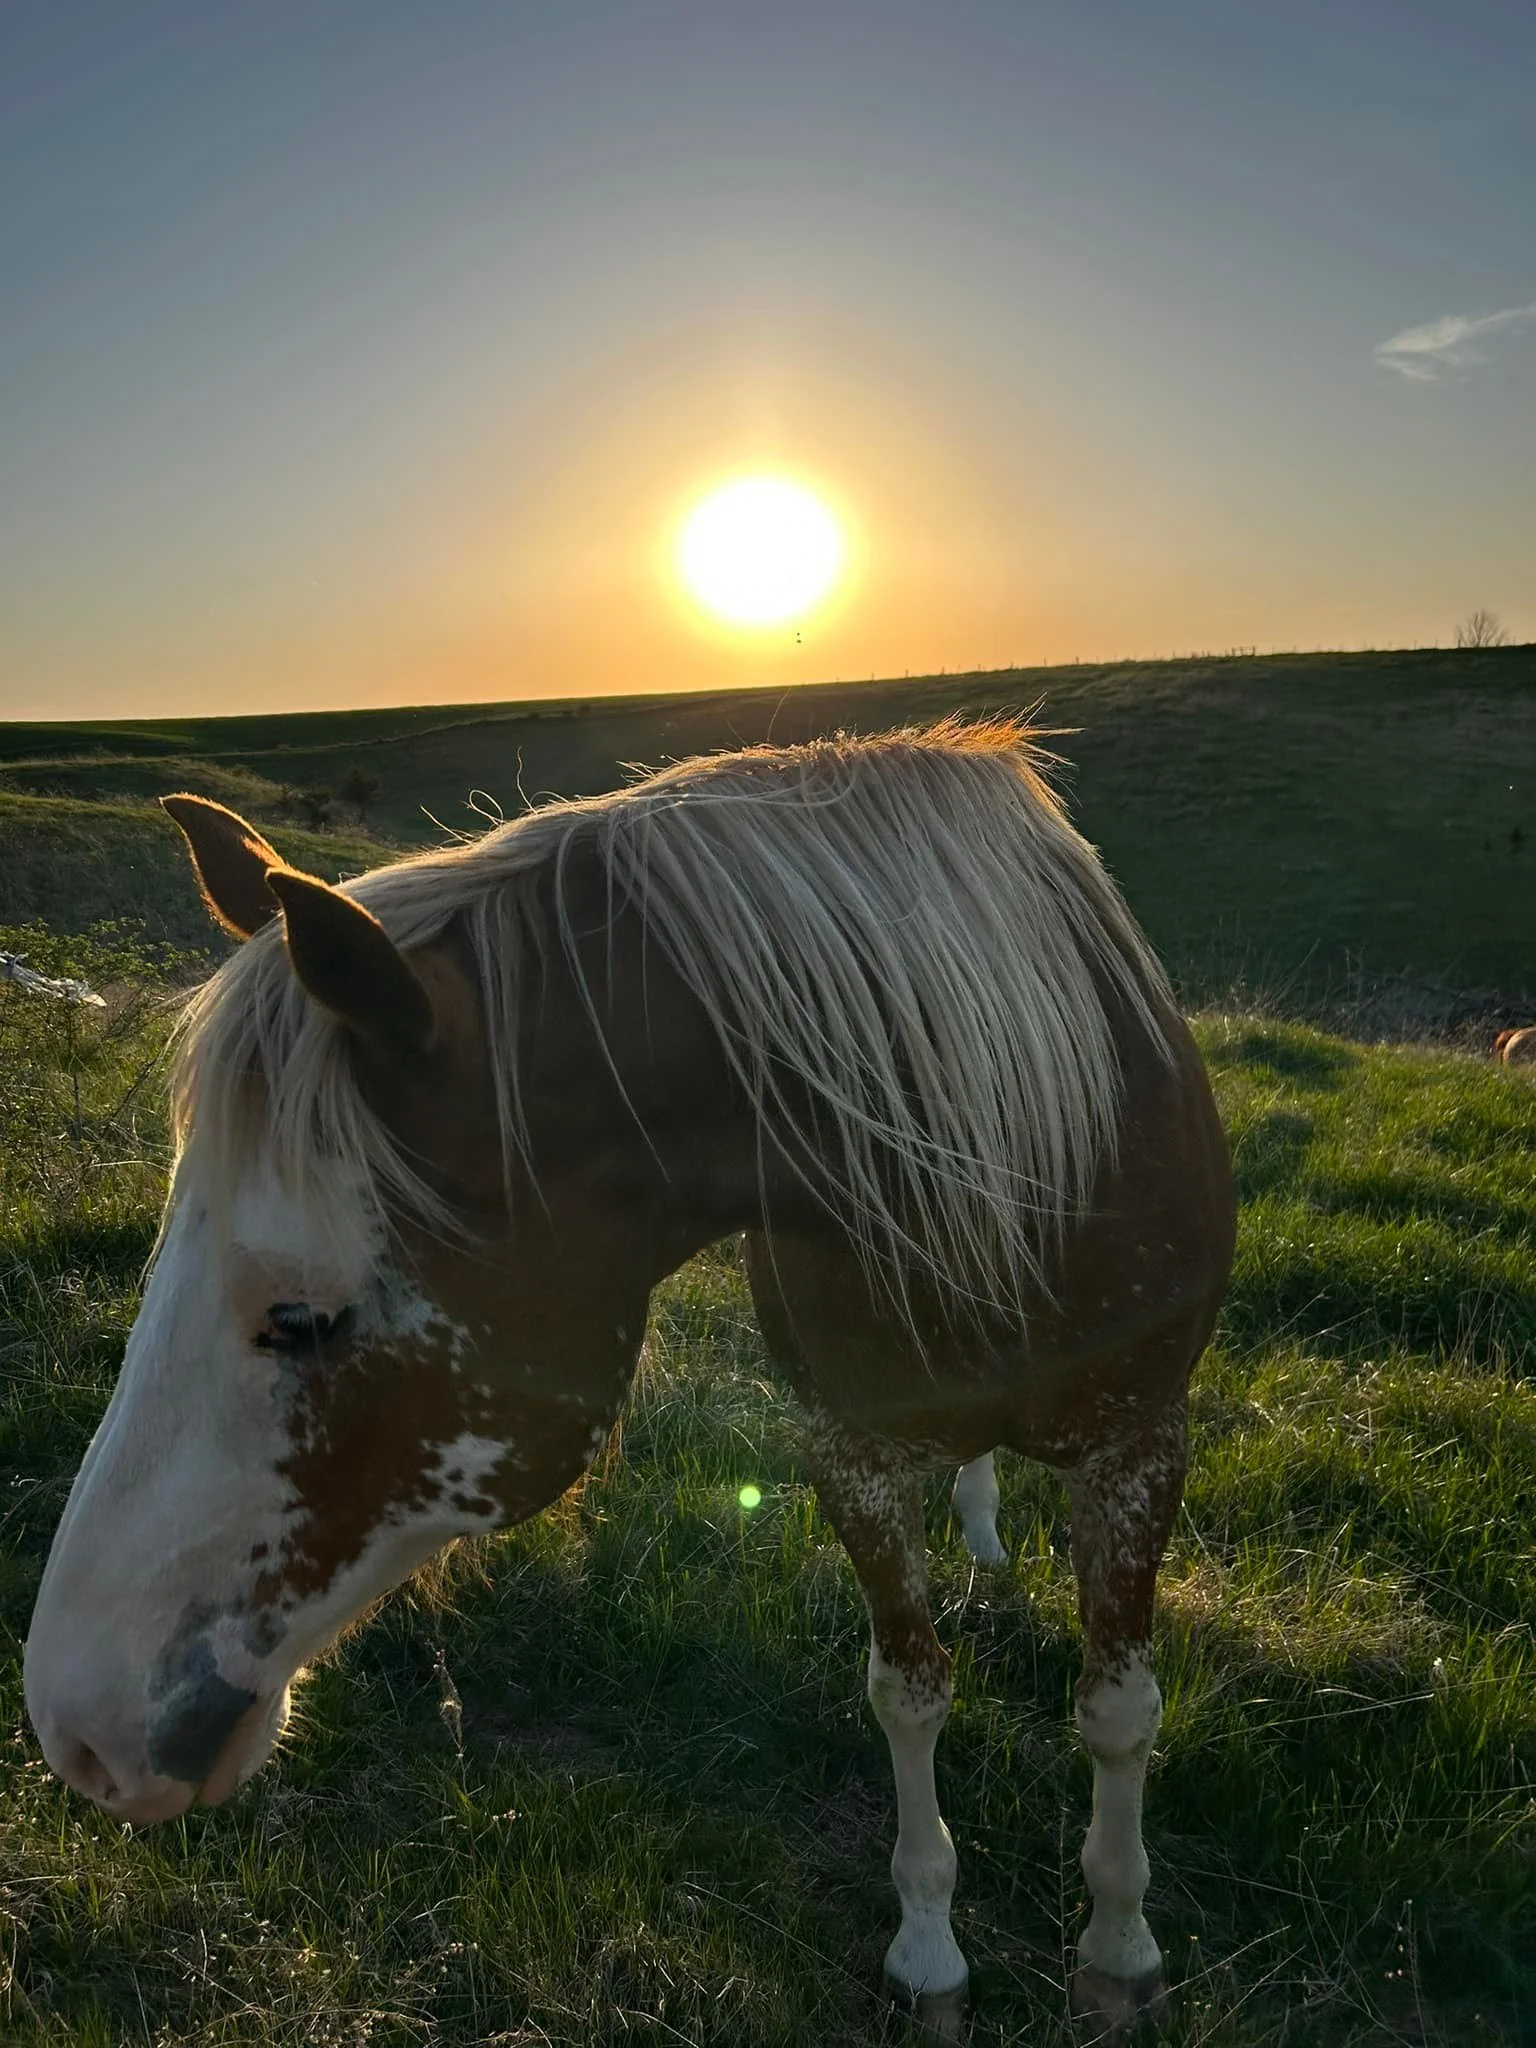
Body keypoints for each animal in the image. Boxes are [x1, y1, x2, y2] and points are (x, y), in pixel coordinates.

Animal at [24, 722, 1235, 2038]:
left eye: (299, 1316)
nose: (77, 1727)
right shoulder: (852, 1453)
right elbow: (908, 1690)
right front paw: (928, 1948)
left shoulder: (1140, 1446)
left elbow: (1118, 1714)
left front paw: (1120, 1946)